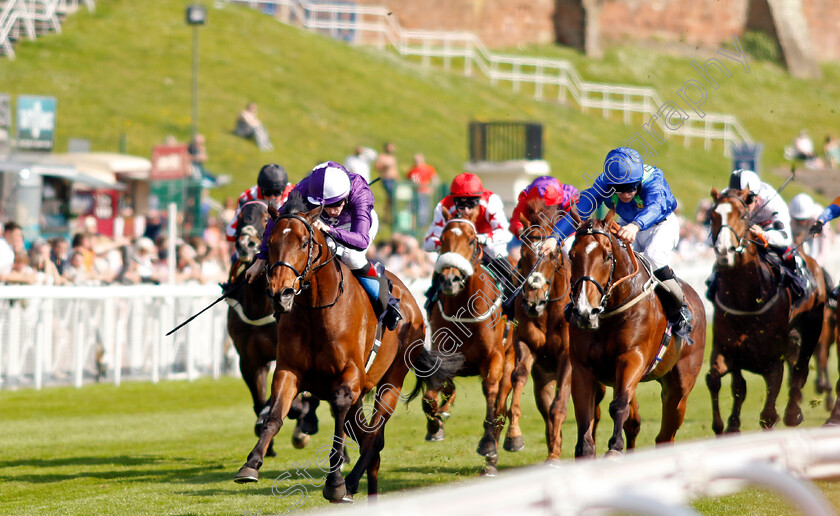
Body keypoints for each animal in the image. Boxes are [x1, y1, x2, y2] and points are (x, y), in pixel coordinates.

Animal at [235, 196, 460, 502]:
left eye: (304, 243)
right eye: (269, 243)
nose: (280, 293)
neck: (316, 311)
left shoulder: (350, 375)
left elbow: (339, 414)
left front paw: (335, 482)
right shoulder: (288, 370)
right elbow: (273, 416)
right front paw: (251, 463)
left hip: (391, 381)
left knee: (374, 437)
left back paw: (350, 482)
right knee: (368, 440)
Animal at [424, 210, 516, 476]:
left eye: (472, 241)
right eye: (442, 240)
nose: (450, 280)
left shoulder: (494, 358)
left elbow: (491, 394)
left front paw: (488, 446)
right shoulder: (442, 355)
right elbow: (433, 393)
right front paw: (436, 424)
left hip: (510, 360)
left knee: (501, 406)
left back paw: (493, 458)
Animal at [564, 209, 708, 456]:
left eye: (606, 256)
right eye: (572, 255)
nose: (584, 312)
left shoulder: (633, 357)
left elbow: (619, 405)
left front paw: (614, 448)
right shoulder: (582, 367)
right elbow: (585, 412)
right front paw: (586, 450)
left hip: (679, 387)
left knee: (665, 433)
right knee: (635, 422)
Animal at [708, 187, 828, 434]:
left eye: (743, 216)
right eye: (712, 216)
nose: (724, 252)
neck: (745, 299)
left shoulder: (773, 360)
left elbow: (768, 415)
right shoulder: (728, 347)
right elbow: (725, 382)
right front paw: (726, 425)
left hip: (813, 327)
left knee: (801, 369)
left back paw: (793, 413)